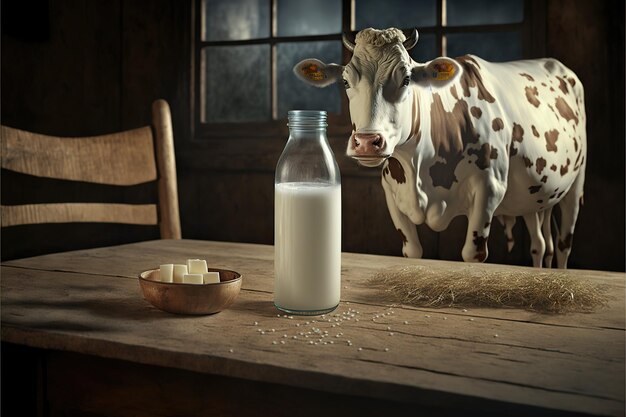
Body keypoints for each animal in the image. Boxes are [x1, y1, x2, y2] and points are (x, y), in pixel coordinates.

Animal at [294, 27, 584, 268]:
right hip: (534, 196)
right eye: (345, 82)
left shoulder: (490, 188)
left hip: (575, 187)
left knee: (563, 244)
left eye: (406, 79)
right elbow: (412, 250)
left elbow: (472, 253)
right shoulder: (391, 195)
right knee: (539, 245)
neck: (419, 170)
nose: (367, 142)